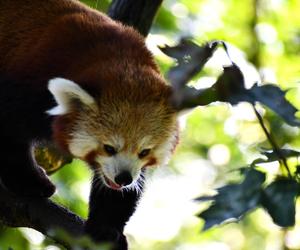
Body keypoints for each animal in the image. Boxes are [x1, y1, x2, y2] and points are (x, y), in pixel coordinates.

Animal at [0, 0, 178, 248]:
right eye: (109, 148)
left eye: (144, 151)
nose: (123, 178)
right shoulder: (29, 87)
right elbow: (10, 134)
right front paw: (28, 182)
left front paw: (106, 229)